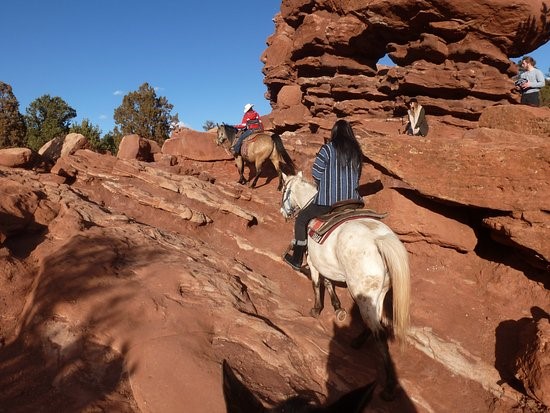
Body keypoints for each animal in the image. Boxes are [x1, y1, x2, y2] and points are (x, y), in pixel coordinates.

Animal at [282, 171, 412, 400]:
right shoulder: (326, 264)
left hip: (362, 292)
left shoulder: (315, 262)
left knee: (380, 333)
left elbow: (317, 283)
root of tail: (379, 239)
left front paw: (316, 309)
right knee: (376, 322)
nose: (283, 211)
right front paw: (338, 308)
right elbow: (328, 282)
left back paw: (388, 387)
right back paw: (358, 341)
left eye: (284, 190)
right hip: (377, 293)